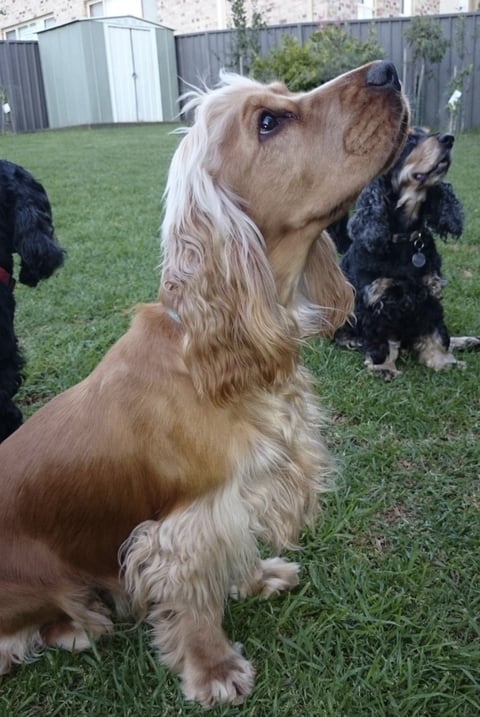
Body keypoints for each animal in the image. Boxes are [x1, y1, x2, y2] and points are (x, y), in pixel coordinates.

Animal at [334, 126, 476, 378]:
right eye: (409, 140)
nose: (448, 139)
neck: (405, 240)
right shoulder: (376, 300)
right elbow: (382, 341)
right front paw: (383, 367)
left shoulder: (429, 295)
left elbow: (436, 334)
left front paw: (443, 361)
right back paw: (353, 340)